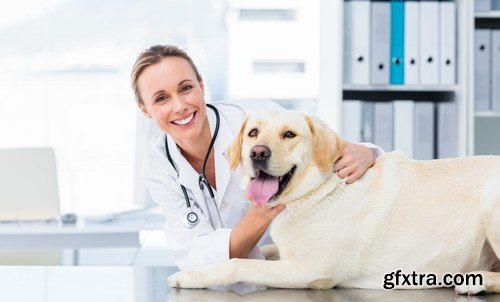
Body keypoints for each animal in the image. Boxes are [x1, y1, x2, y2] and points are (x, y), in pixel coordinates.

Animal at [169, 109, 500, 294]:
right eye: (253, 133)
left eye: (289, 134)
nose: (257, 153)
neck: (317, 191)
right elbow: (263, 249)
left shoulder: (308, 270)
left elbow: (236, 263)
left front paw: (189, 275)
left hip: (490, 202)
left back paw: (475, 280)